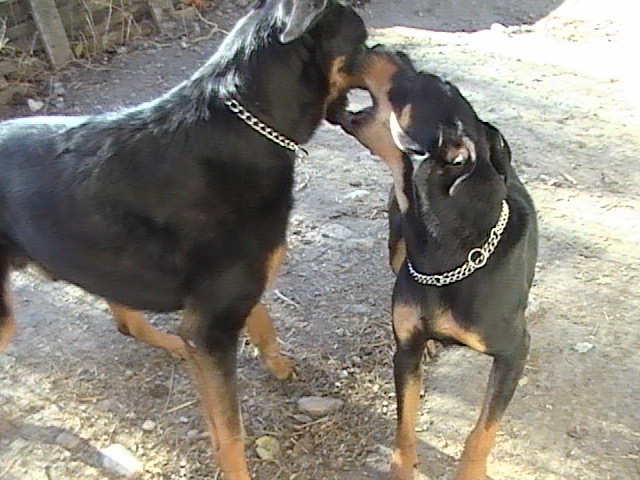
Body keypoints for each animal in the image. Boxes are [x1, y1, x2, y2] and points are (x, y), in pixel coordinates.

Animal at [0, 1, 368, 478]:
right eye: (364, 41)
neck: (249, 122)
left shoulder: (225, 303)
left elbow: (263, 324)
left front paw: (279, 366)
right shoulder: (212, 329)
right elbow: (230, 431)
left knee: (126, 319)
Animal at [332, 50, 536, 478]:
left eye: (417, 81)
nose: (387, 48)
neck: (448, 254)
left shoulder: (513, 351)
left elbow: (483, 429)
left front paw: (471, 470)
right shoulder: (405, 351)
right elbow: (404, 425)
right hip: (394, 247)